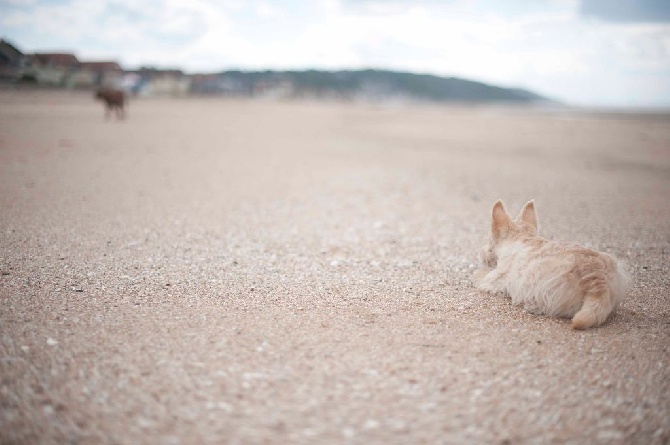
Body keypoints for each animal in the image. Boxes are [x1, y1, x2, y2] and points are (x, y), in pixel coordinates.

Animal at [472, 199, 632, 328]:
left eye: (490, 244)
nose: (480, 253)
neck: (521, 239)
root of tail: (598, 280)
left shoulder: (496, 278)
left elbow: (479, 274)